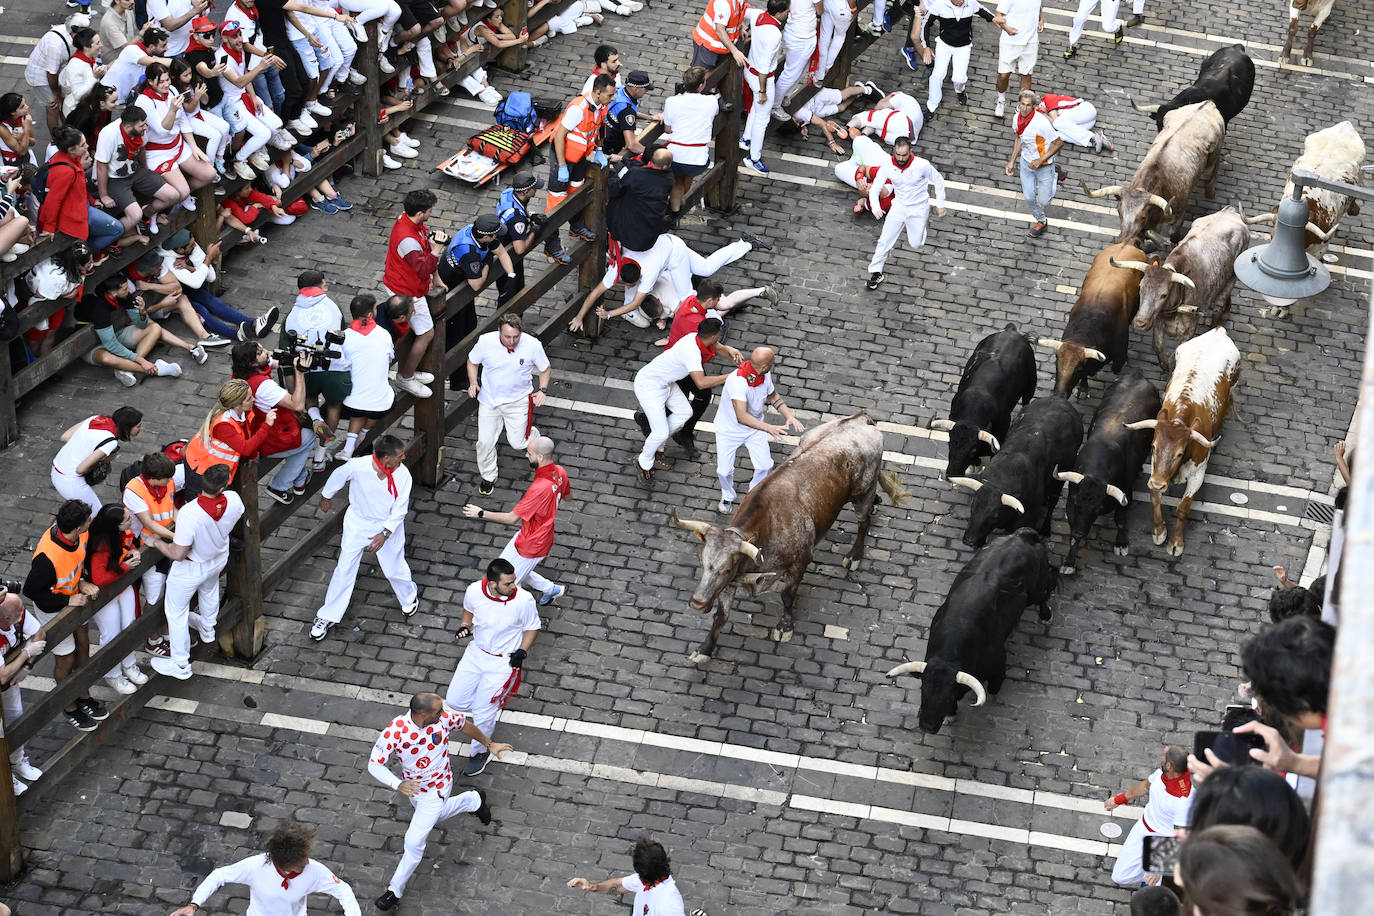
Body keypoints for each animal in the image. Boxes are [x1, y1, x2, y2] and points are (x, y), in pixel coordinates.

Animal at [670, 411, 906, 661]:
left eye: (725, 569)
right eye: (702, 562)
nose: (697, 603)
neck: (767, 527)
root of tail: (859, 418)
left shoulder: (799, 561)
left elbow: (787, 594)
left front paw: (785, 626)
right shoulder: (733, 579)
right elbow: (721, 616)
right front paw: (705, 649)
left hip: (862, 492)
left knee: (864, 521)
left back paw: (855, 555)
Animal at [884, 527, 1055, 736]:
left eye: (948, 697)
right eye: (923, 691)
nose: (927, 727)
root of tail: (1023, 535)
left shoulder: (998, 665)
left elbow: (994, 688)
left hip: (1036, 590)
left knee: (1044, 595)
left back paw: (1046, 616)